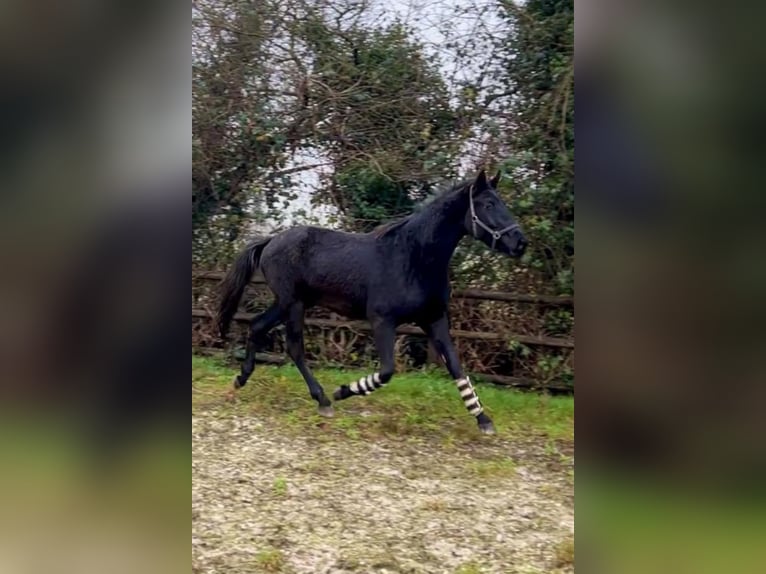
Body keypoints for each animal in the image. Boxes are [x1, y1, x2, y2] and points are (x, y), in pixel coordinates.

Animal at [216, 169, 528, 434]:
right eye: (488, 204)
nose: (520, 243)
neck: (413, 258)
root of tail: (270, 241)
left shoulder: (435, 319)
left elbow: (456, 367)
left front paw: (483, 419)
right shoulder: (383, 321)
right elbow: (387, 371)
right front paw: (342, 391)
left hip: (287, 303)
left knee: (257, 326)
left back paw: (239, 381)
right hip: (293, 304)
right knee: (294, 347)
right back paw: (323, 400)